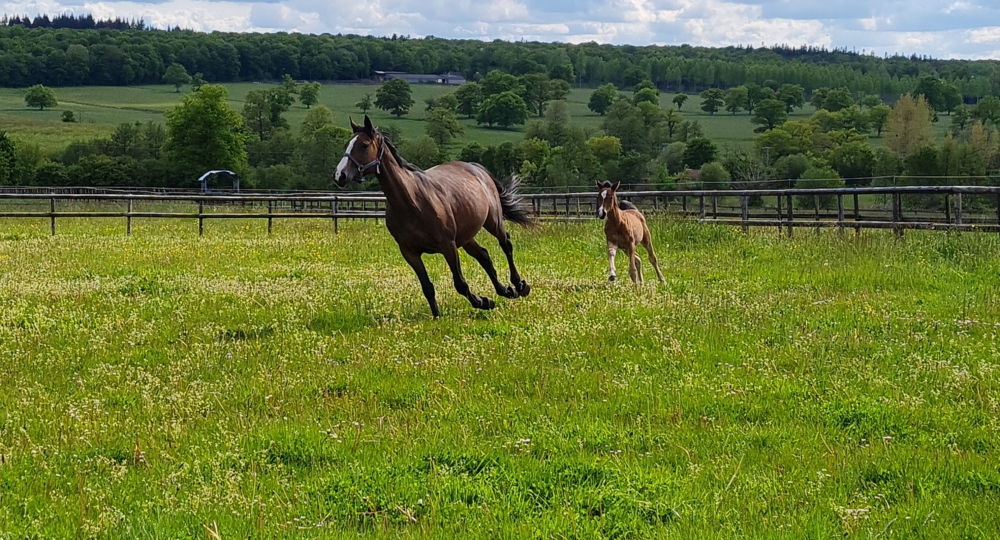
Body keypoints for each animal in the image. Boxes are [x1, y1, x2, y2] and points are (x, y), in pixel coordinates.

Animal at [336, 115, 536, 316]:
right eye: (346, 144)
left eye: (364, 145)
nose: (340, 175)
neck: (412, 203)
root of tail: (475, 168)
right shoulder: (410, 253)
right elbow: (427, 287)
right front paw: (440, 316)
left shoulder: (448, 246)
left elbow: (460, 284)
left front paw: (481, 301)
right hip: (465, 236)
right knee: (484, 256)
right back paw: (505, 291)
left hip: (492, 222)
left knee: (506, 244)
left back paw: (519, 286)